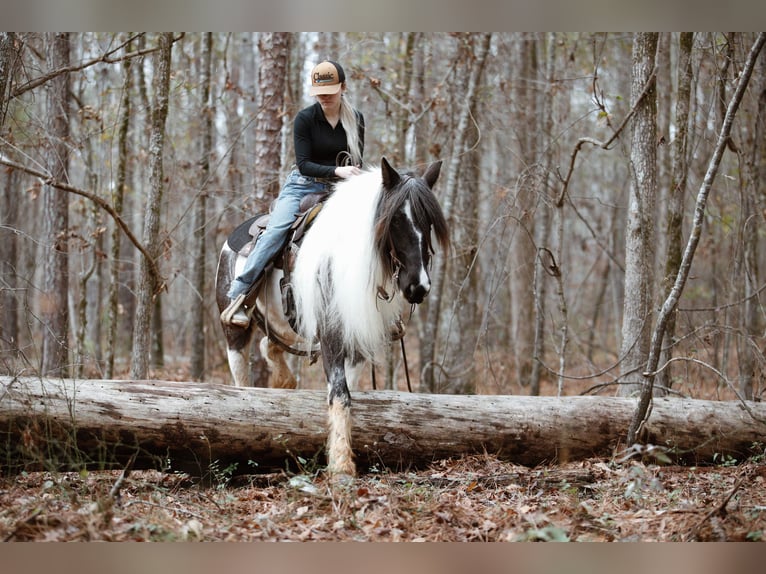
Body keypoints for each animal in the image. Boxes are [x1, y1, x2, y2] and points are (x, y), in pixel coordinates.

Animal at [215, 157, 449, 475]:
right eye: (396, 220)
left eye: (429, 222)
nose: (418, 287)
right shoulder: (330, 333)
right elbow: (340, 394)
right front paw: (340, 464)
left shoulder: (358, 337)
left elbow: (347, 391)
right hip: (237, 332)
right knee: (241, 374)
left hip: (285, 324)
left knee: (270, 346)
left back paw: (284, 381)